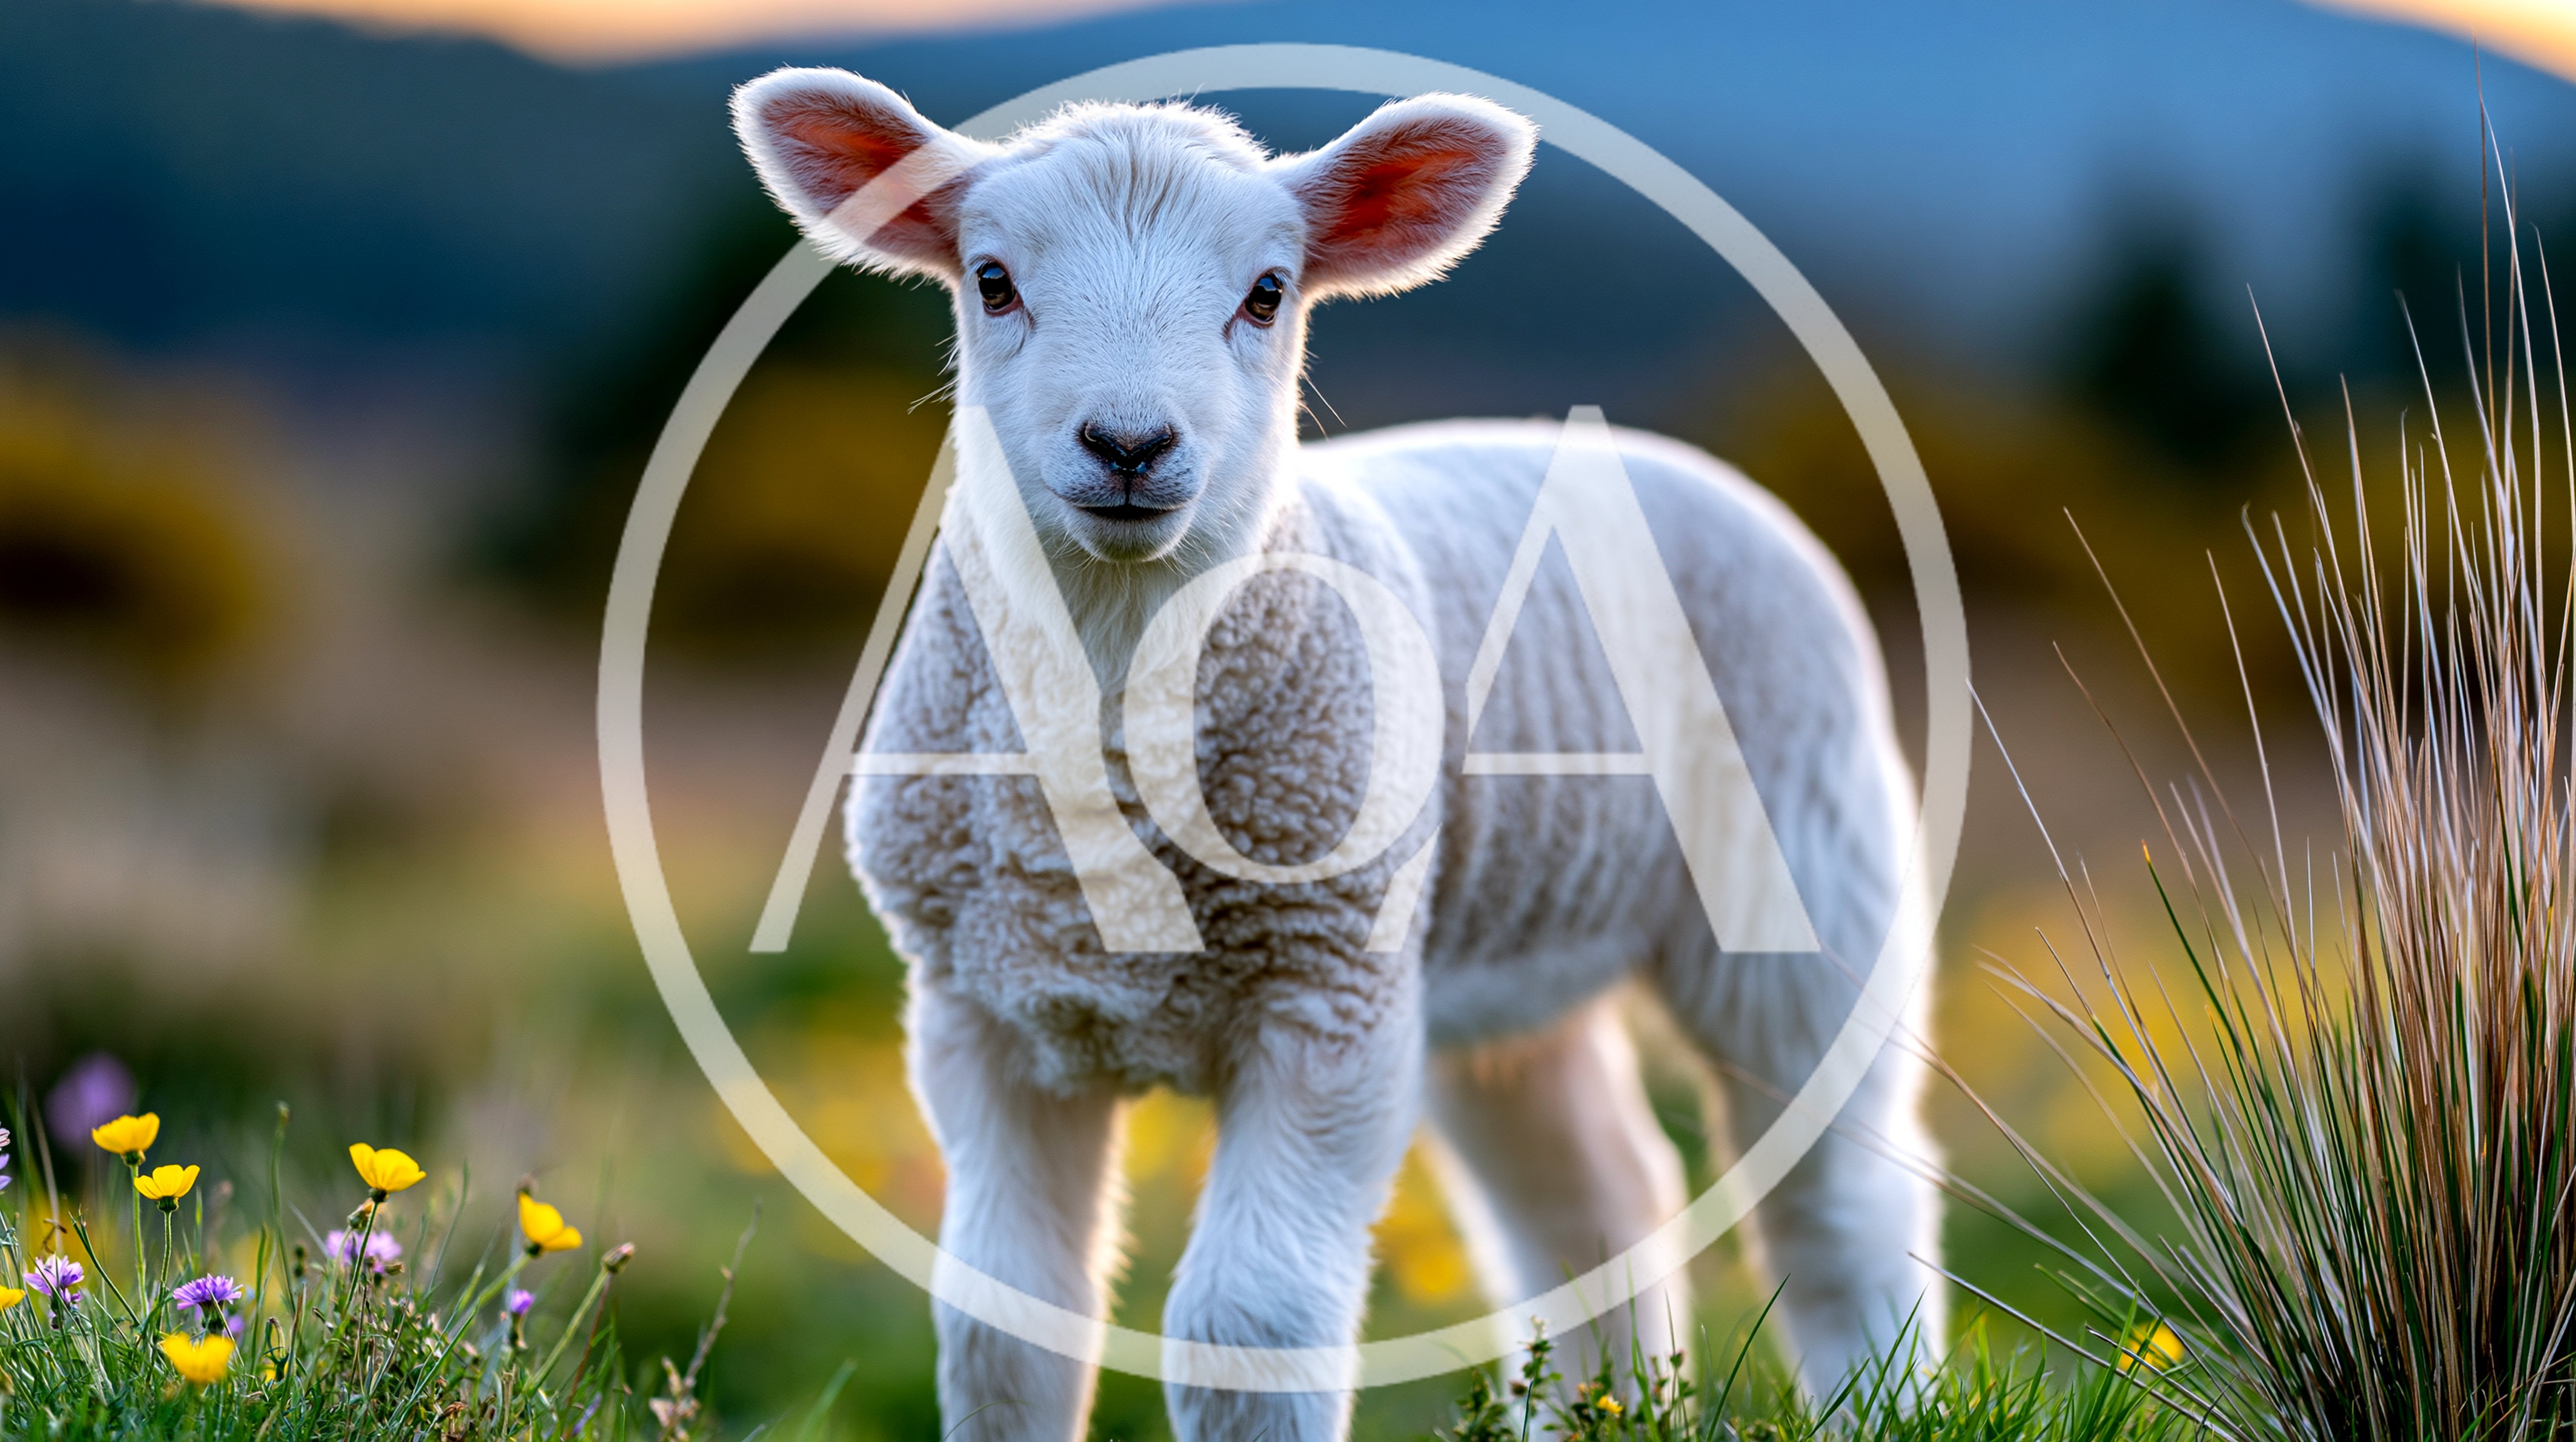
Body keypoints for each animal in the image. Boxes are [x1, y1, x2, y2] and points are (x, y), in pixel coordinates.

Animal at [731, 67, 1943, 1442]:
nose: (1129, 445)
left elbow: (1248, 1329)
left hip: (1802, 874)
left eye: (1266, 293)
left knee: (1841, 1198)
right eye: (993, 280)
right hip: (1497, 961)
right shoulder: (985, 1010)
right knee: (1594, 1196)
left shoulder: (1328, 997)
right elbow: (1003, 1329)